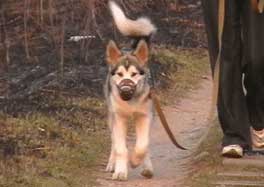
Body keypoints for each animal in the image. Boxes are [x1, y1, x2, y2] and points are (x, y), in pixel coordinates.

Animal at [103, 0, 156, 180]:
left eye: (134, 74)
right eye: (119, 74)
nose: (126, 88)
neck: (131, 102)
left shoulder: (145, 116)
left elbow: (143, 145)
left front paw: (135, 160)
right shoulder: (119, 118)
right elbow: (120, 147)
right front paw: (120, 170)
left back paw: (146, 166)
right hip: (111, 116)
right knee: (113, 142)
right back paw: (112, 163)